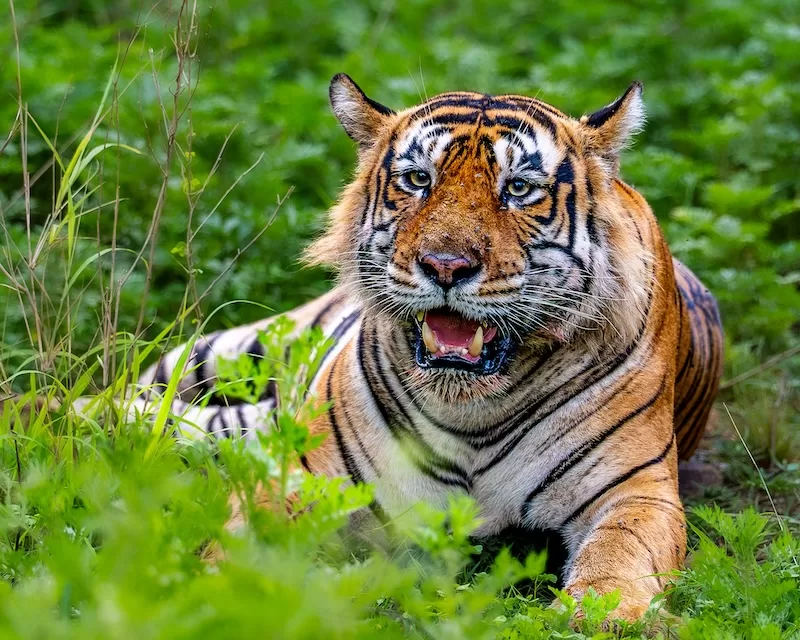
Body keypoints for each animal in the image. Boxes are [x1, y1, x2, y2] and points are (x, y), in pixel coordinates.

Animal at [123, 74, 724, 621]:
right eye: (417, 180)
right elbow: (239, 543)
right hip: (234, 354)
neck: (473, 409)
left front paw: (600, 615)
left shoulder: (635, 489)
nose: (445, 266)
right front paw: (209, 594)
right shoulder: (301, 475)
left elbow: (622, 554)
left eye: (518, 189)